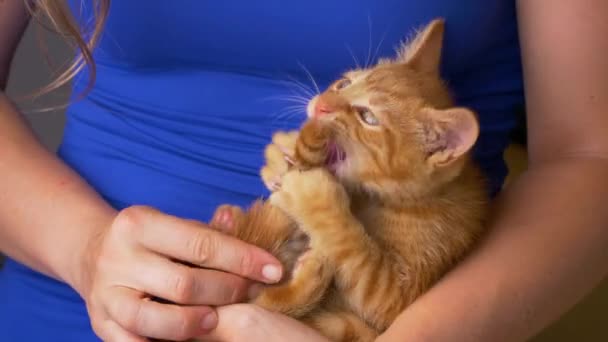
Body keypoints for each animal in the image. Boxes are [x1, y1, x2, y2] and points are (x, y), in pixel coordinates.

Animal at [210, 19, 490, 342]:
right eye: (343, 84)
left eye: (367, 116)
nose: (320, 104)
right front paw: (280, 155)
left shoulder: (397, 294)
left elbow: (355, 253)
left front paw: (312, 195)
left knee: (261, 302)